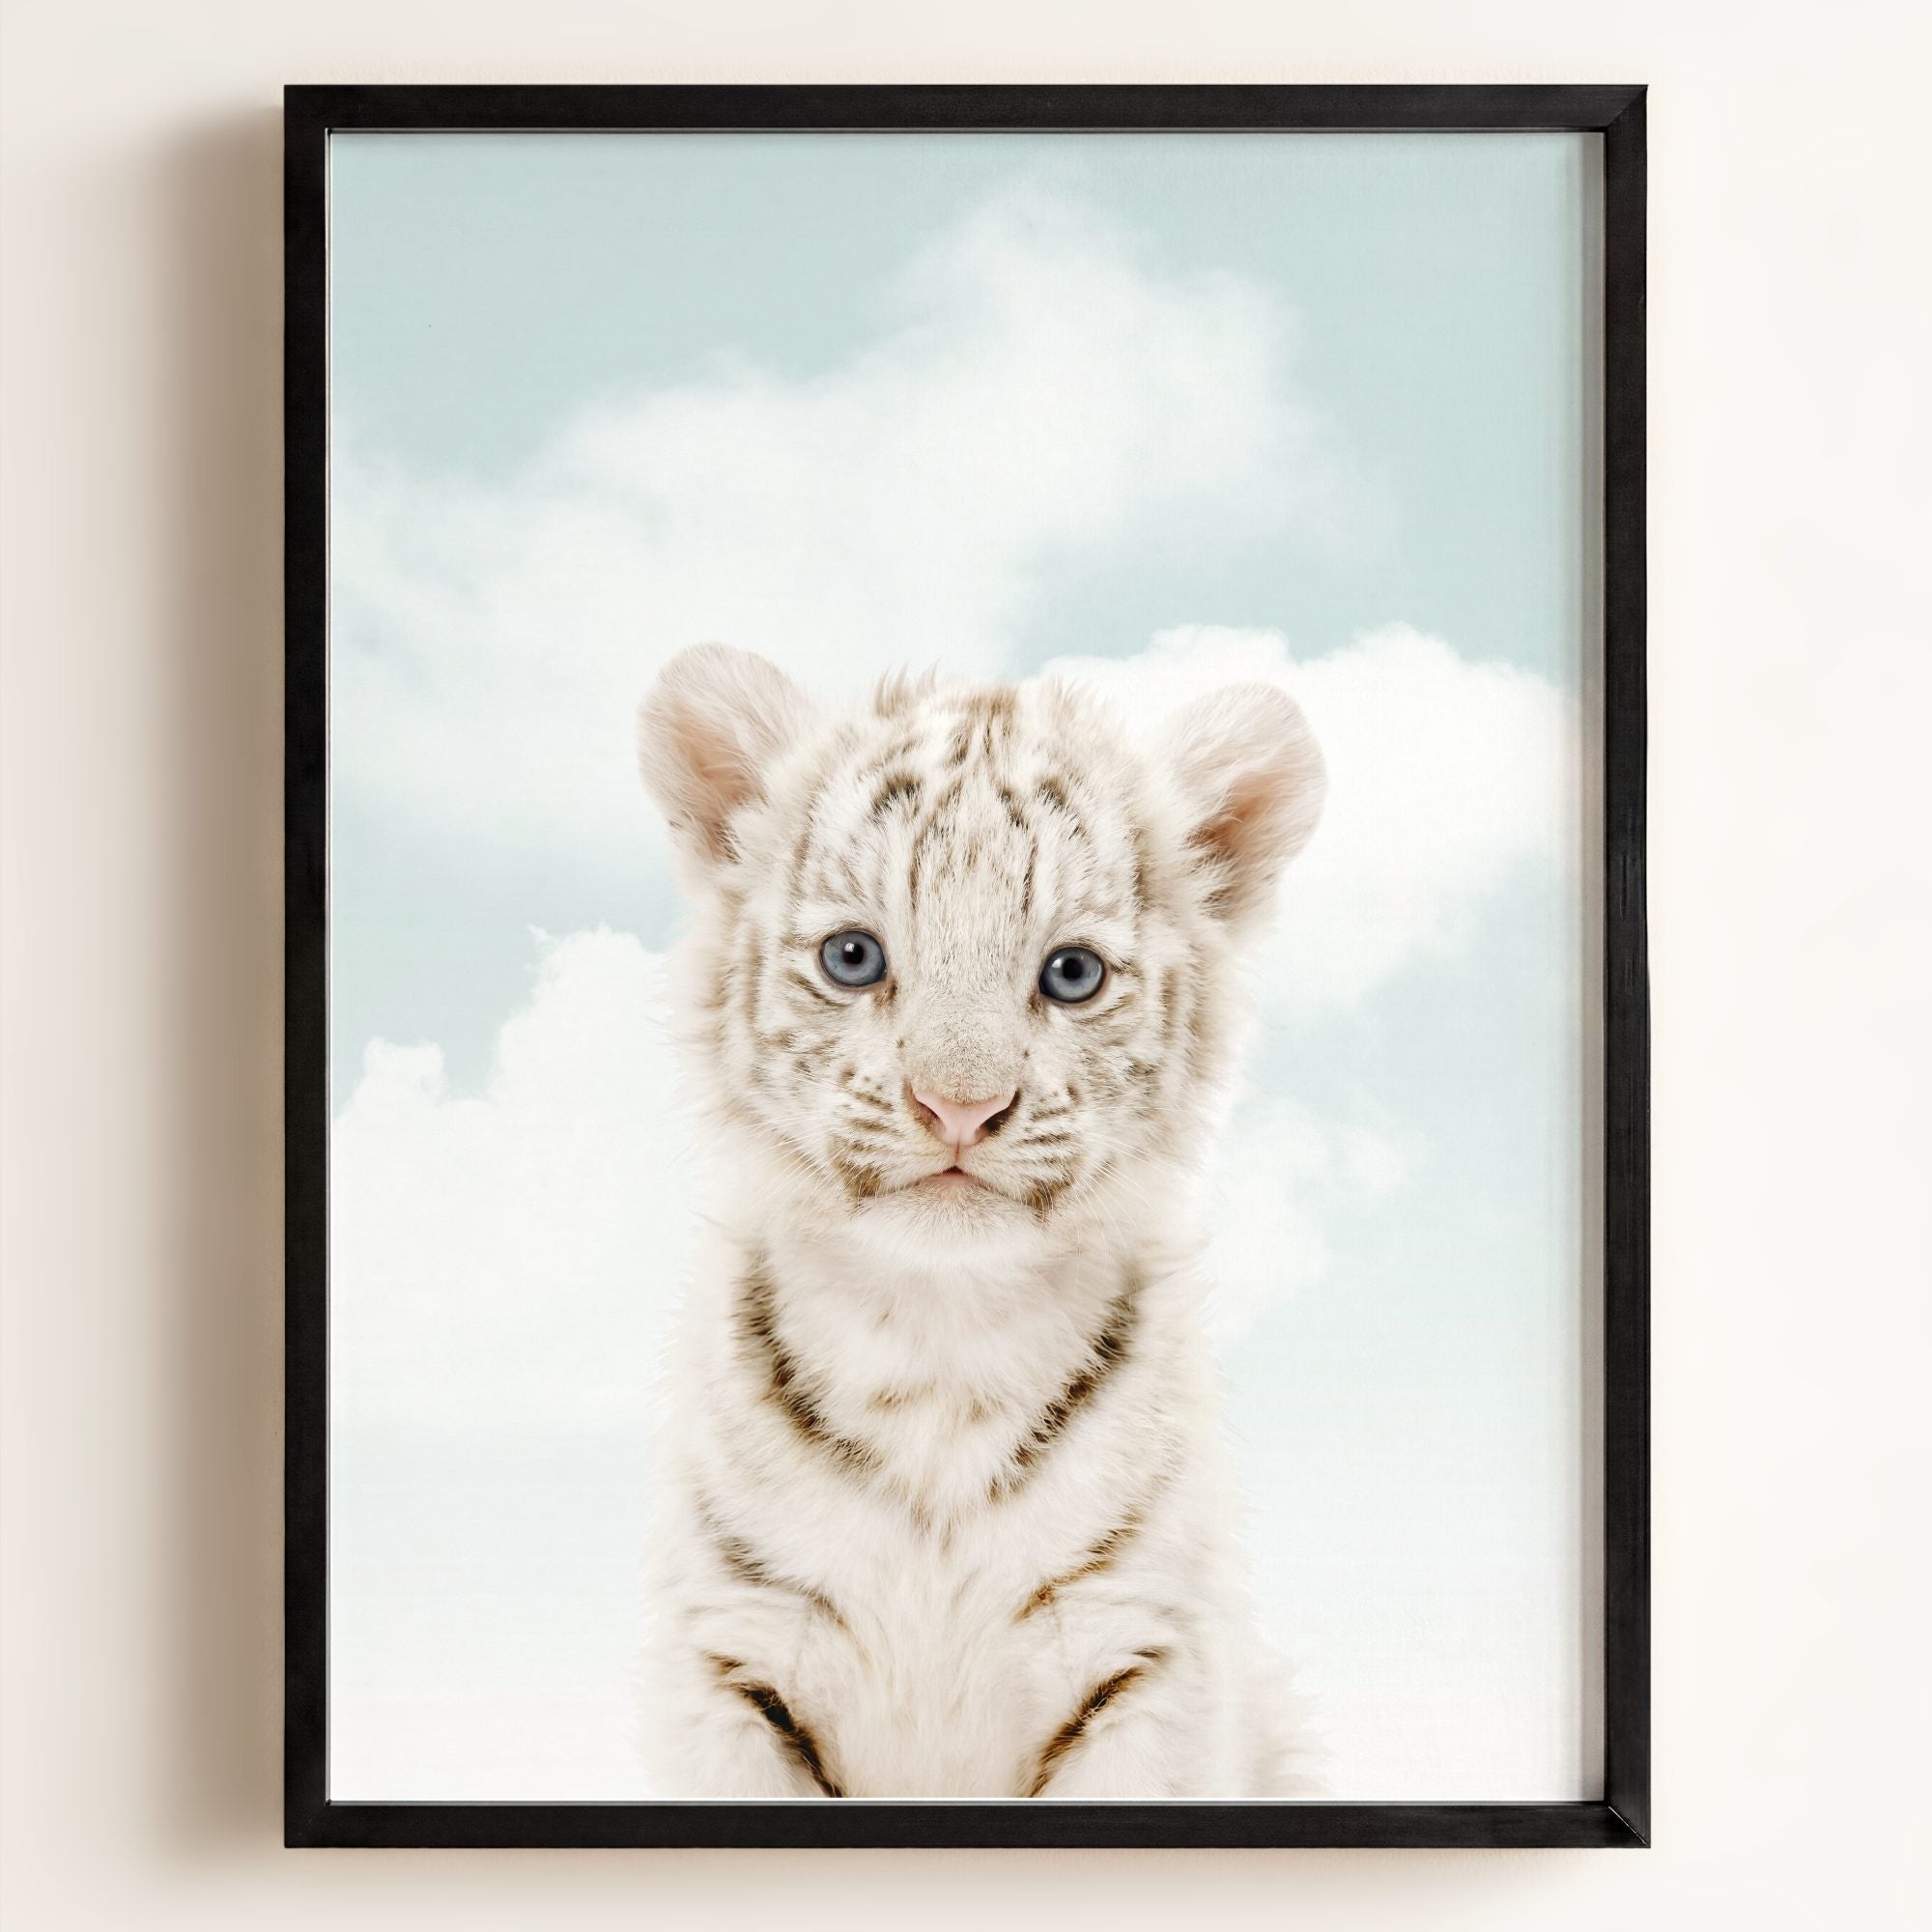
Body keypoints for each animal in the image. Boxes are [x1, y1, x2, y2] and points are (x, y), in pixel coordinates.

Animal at [634, 641, 1326, 1798]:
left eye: (1071, 973)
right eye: (853, 957)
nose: (958, 1106)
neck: (937, 1340)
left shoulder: (1143, 1657)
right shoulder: (733, 1655)